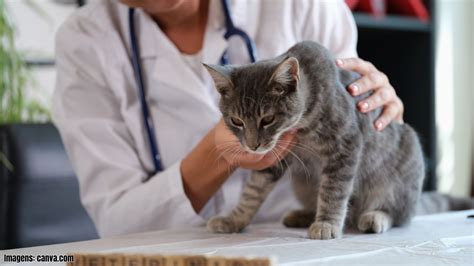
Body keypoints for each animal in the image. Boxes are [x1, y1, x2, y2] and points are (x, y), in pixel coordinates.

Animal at [204, 41, 426, 239]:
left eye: (267, 119)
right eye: (236, 121)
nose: (253, 146)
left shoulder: (345, 145)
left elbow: (333, 191)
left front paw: (327, 224)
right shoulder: (275, 158)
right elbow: (252, 191)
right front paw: (234, 219)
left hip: (401, 175)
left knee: (400, 213)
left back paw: (375, 217)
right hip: (302, 183)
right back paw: (301, 215)